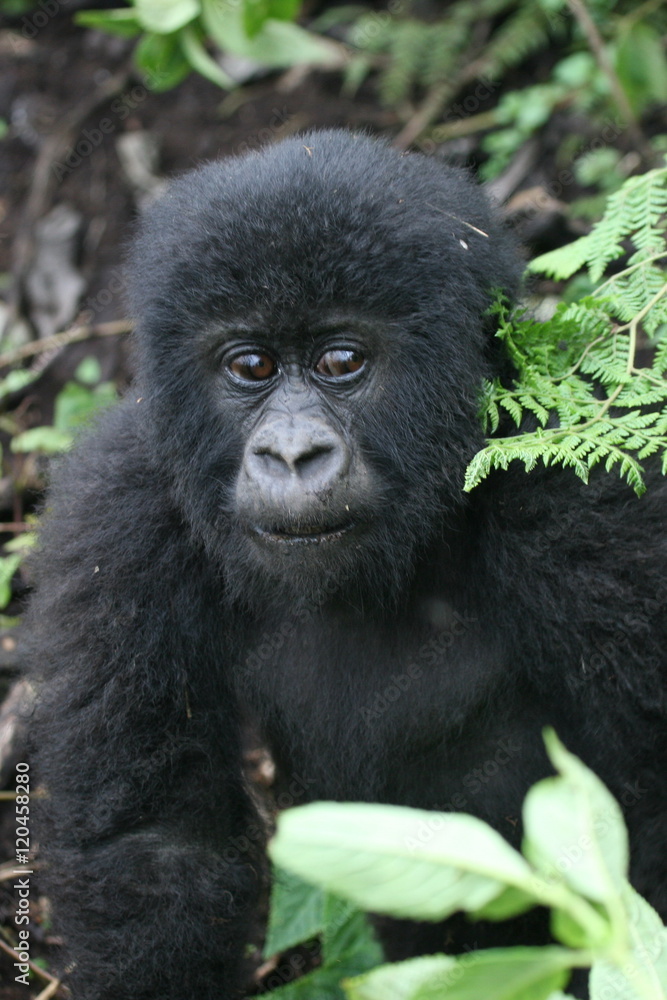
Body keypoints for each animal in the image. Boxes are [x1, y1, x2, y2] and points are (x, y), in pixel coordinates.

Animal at [27, 127, 667, 1000]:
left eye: (339, 361)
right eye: (251, 367)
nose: (292, 454)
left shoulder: (584, 501)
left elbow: (646, 788)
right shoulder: (117, 516)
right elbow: (151, 845)